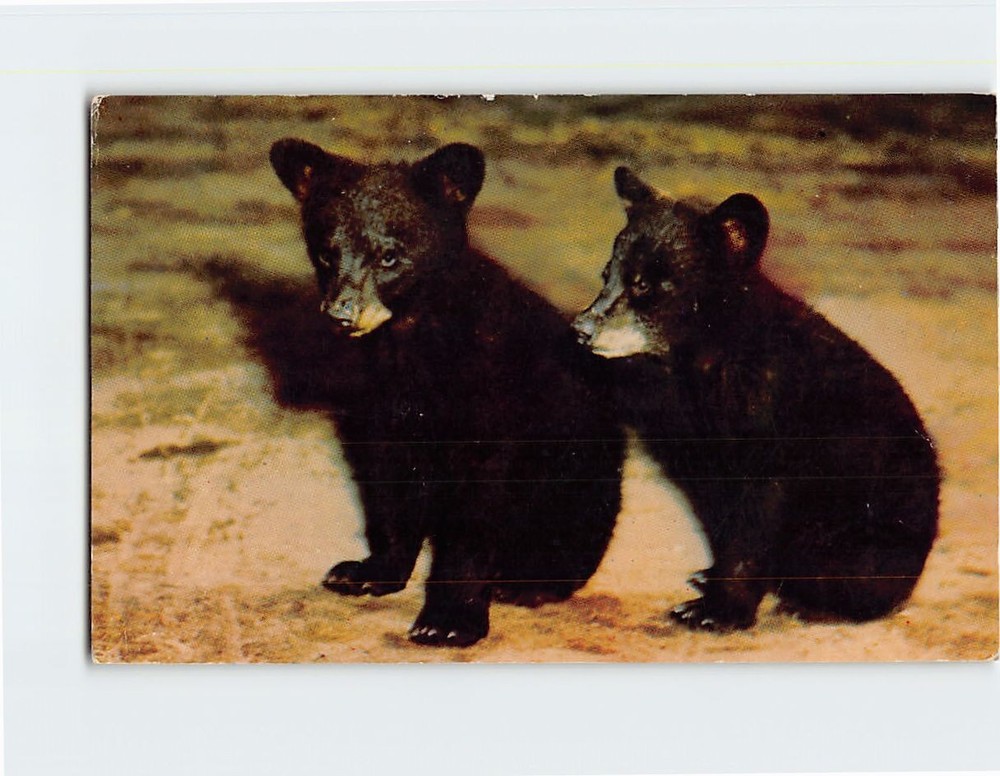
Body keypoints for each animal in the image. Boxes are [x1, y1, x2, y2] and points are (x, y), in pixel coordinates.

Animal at [269, 138, 625, 647]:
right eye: (325, 254)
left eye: (389, 256)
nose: (342, 313)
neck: (413, 340)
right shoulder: (385, 406)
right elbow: (390, 485)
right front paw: (366, 572)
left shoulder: (487, 402)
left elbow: (475, 512)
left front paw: (448, 619)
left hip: (580, 477)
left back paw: (526, 583)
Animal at [572, 166, 940, 631]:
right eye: (607, 275)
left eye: (645, 286)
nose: (580, 329)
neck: (711, 361)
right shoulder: (702, 462)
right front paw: (712, 583)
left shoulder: (771, 447)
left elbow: (753, 532)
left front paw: (718, 612)